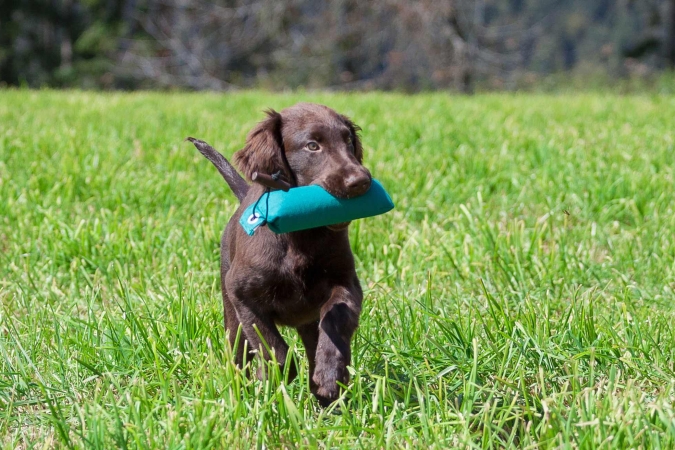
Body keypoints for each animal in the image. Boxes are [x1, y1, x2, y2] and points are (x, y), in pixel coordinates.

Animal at [187, 103, 372, 406]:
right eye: (312, 146)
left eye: (348, 141)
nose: (361, 182)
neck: (301, 235)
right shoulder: (242, 295)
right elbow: (274, 348)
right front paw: (274, 379)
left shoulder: (346, 284)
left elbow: (335, 320)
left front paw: (330, 376)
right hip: (231, 315)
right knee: (238, 355)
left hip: (307, 321)